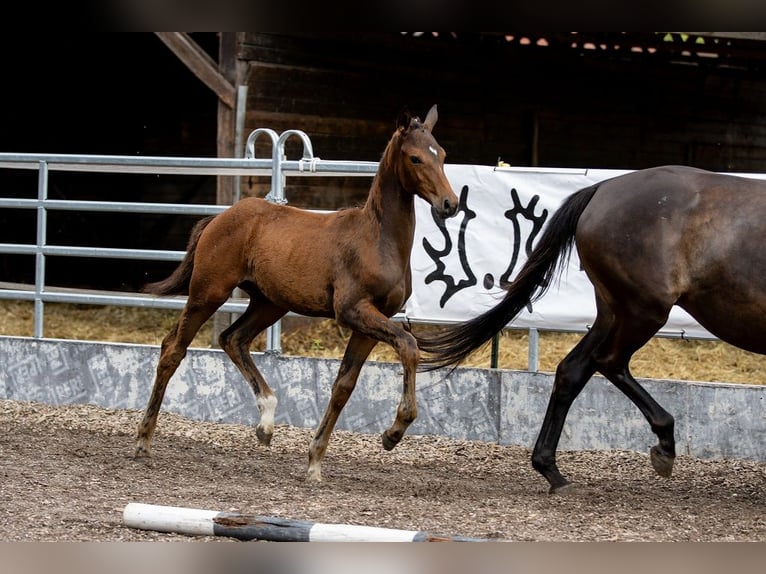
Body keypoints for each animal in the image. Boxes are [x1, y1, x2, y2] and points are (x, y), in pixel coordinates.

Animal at [135, 106, 460, 484]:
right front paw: (393, 433)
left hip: (269, 303)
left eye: (443, 155)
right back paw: (143, 440)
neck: (377, 239)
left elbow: (344, 385)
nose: (450, 204)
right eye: (415, 157)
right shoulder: (353, 311)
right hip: (208, 292)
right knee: (173, 348)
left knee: (233, 339)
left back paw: (265, 424)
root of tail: (218, 218)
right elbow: (408, 345)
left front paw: (315, 462)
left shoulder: (372, 321)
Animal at [416, 165, 766, 496]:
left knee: (572, 370)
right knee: (609, 361)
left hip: (614, 312)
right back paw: (664, 444)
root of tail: (602, 188)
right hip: (643, 311)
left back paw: (552, 471)